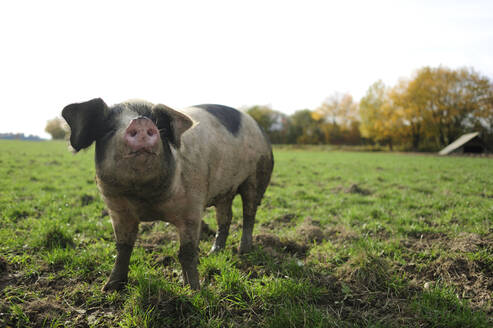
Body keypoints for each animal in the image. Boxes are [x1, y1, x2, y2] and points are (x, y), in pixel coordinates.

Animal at [61, 98, 272, 290]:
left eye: (158, 125)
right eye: (109, 129)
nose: (141, 121)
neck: (144, 198)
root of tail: (258, 126)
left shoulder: (192, 208)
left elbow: (187, 252)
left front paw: (193, 290)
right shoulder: (117, 210)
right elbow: (123, 248)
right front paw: (110, 288)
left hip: (257, 176)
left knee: (249, 214)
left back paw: (243, 251)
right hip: (225, 191)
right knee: (225, 218)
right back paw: (214, 253)